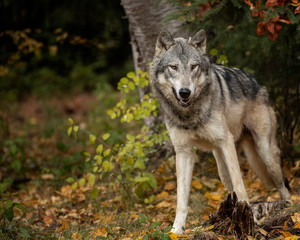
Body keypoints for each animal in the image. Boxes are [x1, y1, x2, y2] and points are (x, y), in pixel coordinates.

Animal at [149, 30, 290, 234]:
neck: (190, 114)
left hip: (265, 154)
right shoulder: (183, 152)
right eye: (173, 67)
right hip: (222, 167)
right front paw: (176, 230)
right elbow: (181, 198)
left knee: (282, 185)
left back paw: (287, 208)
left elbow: (240, 185)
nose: (185, 92)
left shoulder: (225, 142)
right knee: (231, 188)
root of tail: (258, 82)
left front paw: (251, 220)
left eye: (193, 66)